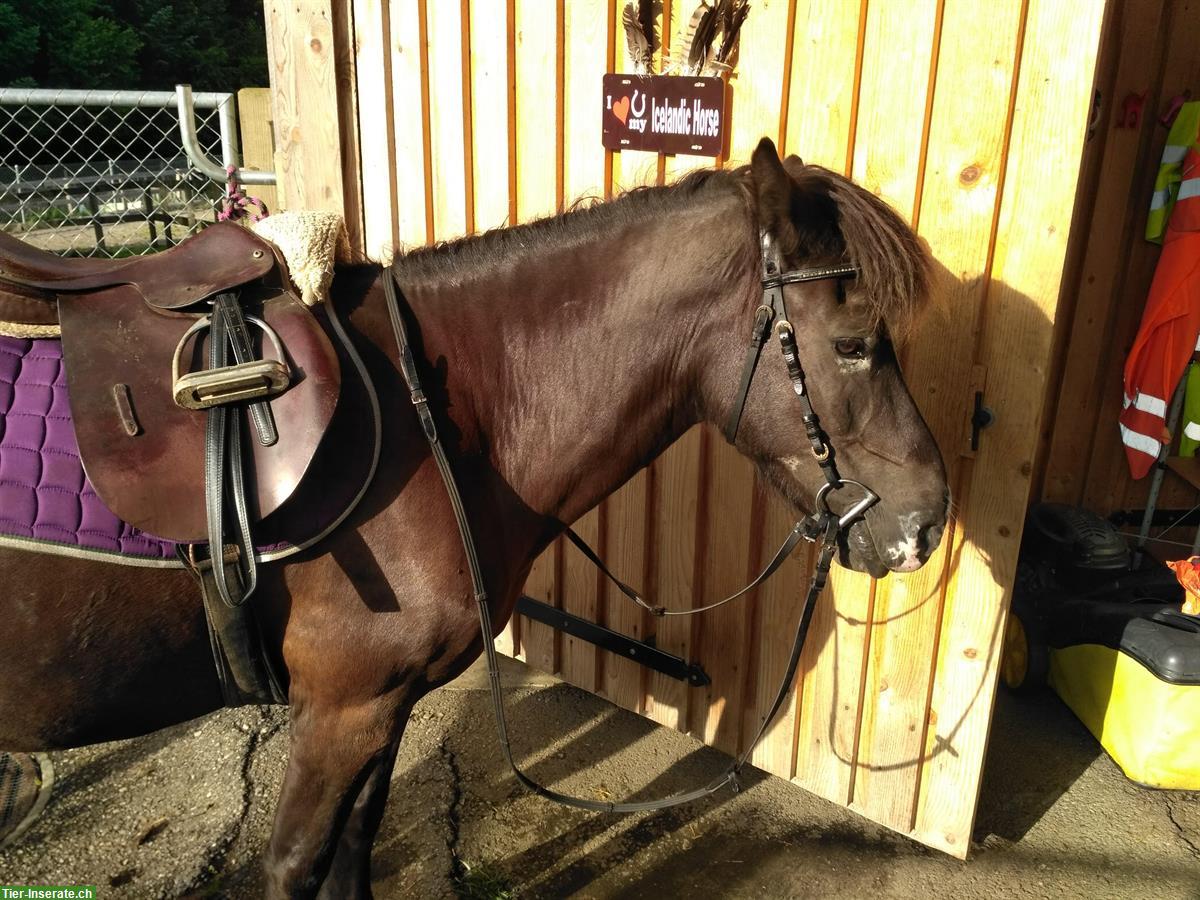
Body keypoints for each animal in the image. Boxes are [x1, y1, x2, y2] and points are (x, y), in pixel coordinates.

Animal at [0, 137, 945, 897]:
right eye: (853, 343)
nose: (928, 522)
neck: (430, 419)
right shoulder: (338, 712)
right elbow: (300, 866)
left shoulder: (380, 708)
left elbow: (355, 849)